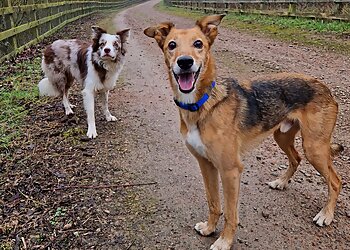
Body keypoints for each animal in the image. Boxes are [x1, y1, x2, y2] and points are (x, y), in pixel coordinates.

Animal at [144, 14, 344, 249]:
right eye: (172, 45)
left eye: (198, 44)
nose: (185, 62)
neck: (203, 105)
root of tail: (325, 87)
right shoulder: (206, 164)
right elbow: (214, 203)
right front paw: (210, 229)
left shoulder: (230, 170)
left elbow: (231, 213)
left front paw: (224, 241)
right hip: (282, 135)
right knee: (296, 158)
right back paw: (282, 182)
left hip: (314, 147)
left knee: (335, 181)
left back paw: (326, 215)